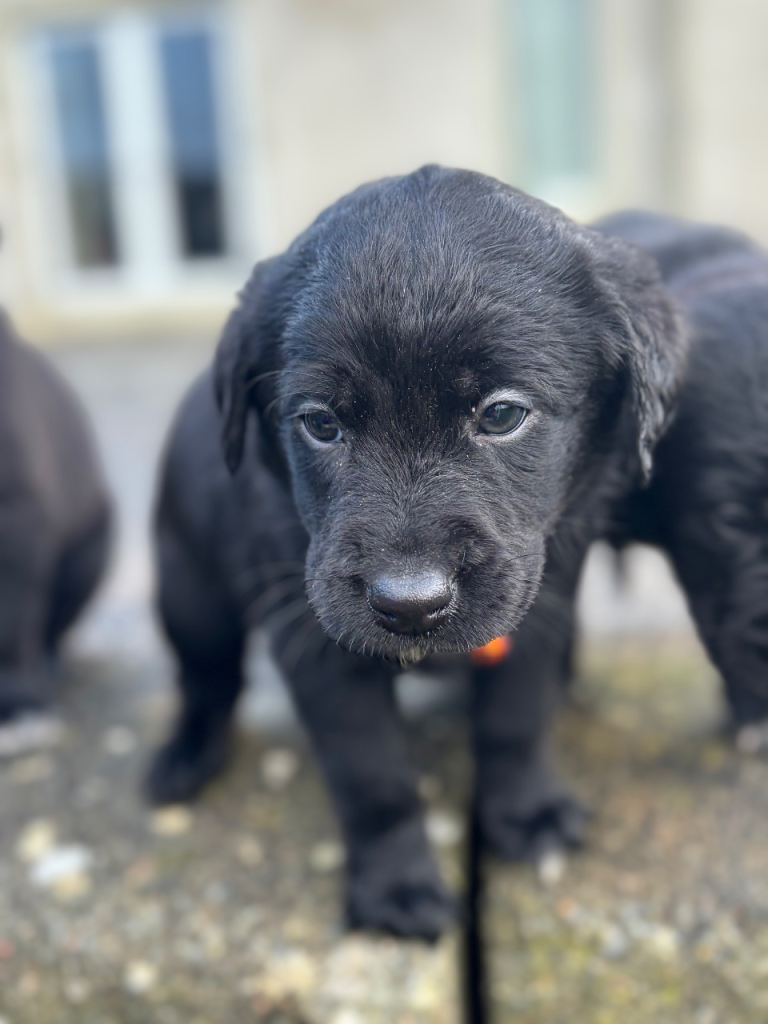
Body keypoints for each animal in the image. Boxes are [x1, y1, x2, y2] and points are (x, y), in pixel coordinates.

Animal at [147, 164, 765, 940]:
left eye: (502, 414)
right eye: (320, 424)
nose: (410, 605)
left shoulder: (542, 601)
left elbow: (515, 721)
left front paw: (525, 814)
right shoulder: (312, 639)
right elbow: (372, 772)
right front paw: (395, 886)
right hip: (186, 588)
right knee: (206, 676)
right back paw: (184, 756)